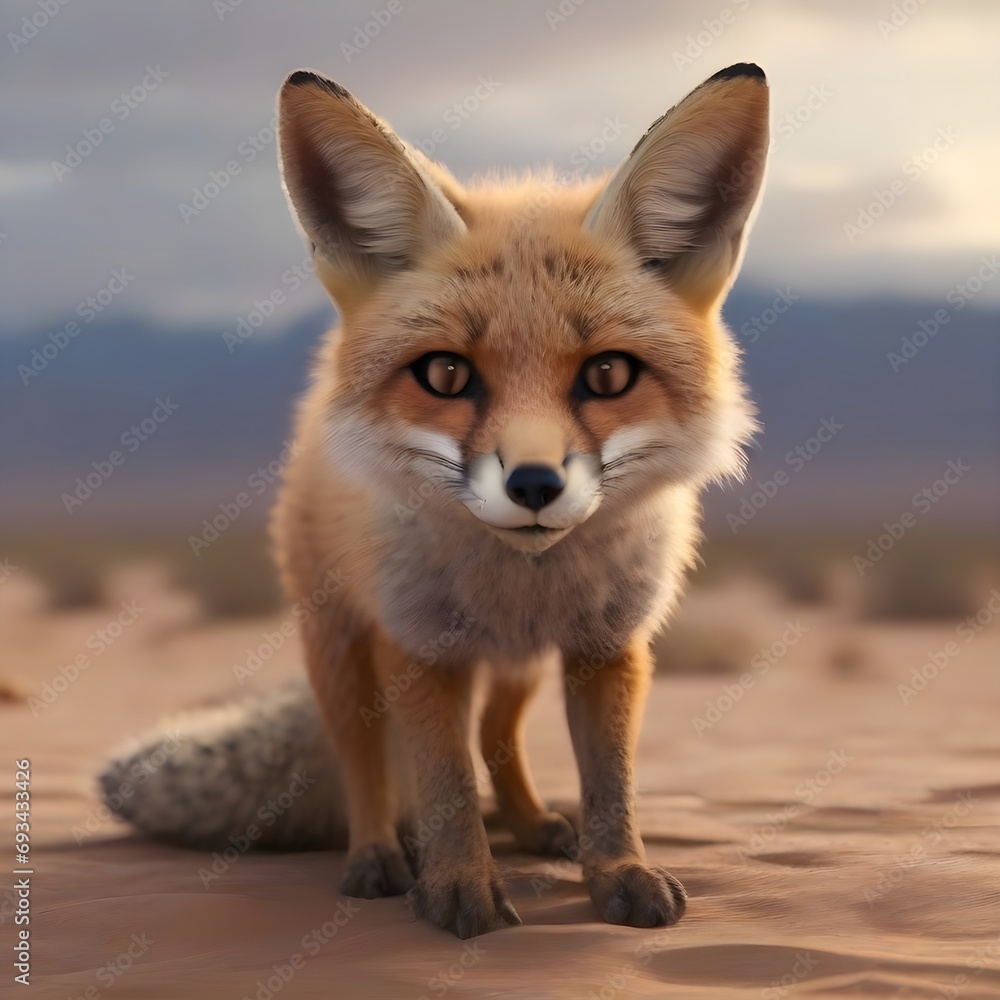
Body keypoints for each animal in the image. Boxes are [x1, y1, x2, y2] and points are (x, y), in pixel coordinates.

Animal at [100, 63, 769, 938]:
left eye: (608, 374)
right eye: (446, 374)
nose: (534, 484)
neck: (520, 581)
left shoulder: (607, 643)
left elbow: (610, 782)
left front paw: (618, 873)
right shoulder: (417, 646)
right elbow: (443, 781)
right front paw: (458, 886)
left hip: (515, 665)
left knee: (495, 733)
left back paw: (528, 824)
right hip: (339, 646)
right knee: (367, 763)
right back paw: (381, 854)